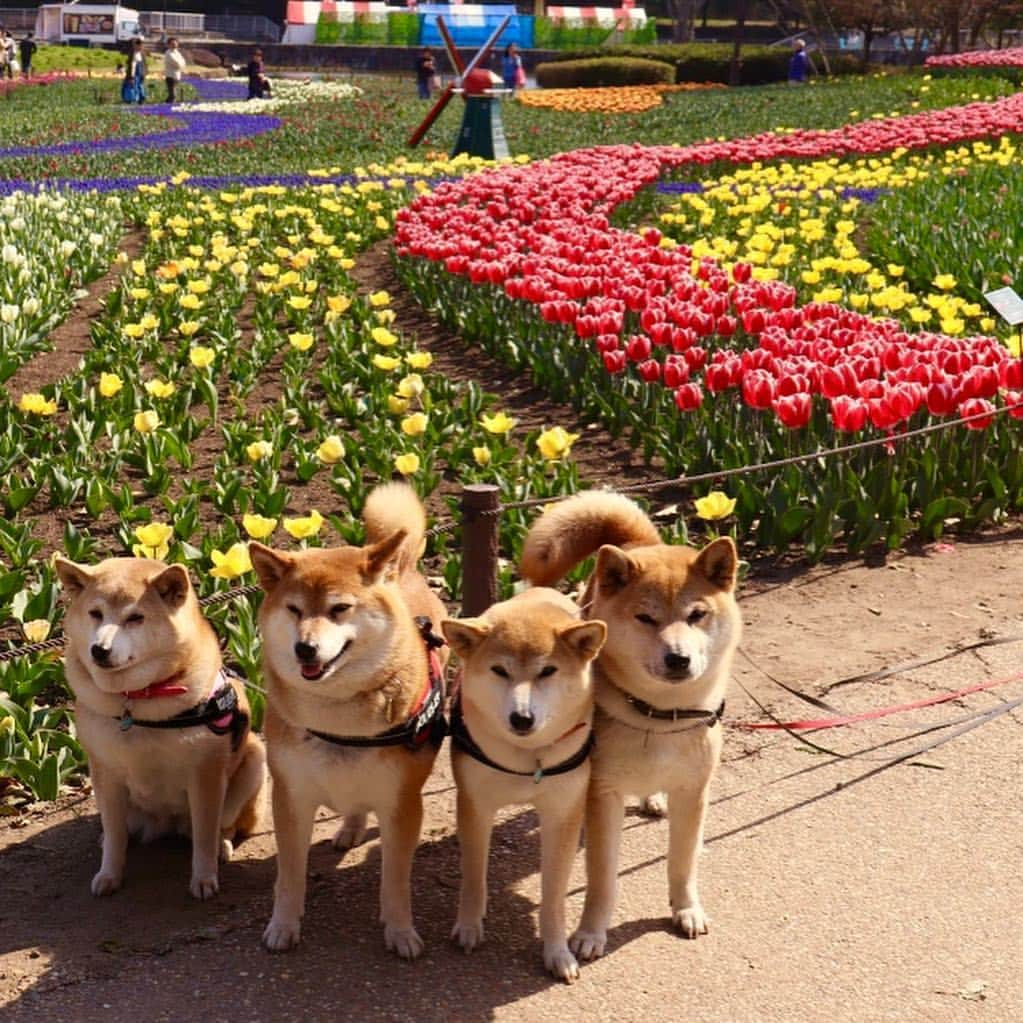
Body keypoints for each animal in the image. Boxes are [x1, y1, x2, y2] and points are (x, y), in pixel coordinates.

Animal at [56, 556, 268, 900]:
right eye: (96, 613)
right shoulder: (106, 773)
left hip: (254, 758)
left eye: (135, 617)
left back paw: (222, 844)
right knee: (120, 829)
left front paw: (204, 877)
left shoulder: (205, 776)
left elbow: (204, 838)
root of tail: (168, 825)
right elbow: (115, 837)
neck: (137, 701)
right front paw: (109, 873)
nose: (99, 649)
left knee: (221, 827)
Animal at [249, 482, 446, 953]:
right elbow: (289, 877)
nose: (304, 648)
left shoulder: (402, 803)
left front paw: (400, 930)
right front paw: (284, 925)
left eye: (339, 608)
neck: (337, 719)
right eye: (294, 610)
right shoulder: (291, 796)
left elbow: (395, 880)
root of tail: (401, 567)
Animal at [441, 593, 601, 982]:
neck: (528, 759)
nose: (522, 717)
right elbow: (473, 875)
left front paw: (557, 952)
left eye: (547, 671)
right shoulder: (475, 805)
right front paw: (469, 924)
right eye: (500, 671)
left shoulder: (562, 814)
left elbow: (554, 898)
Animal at [523, 493, 740, 957]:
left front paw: (686, 909)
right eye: (646, 618)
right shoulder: (603, 793)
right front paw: (590, 933)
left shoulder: (693, 792)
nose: (678, 658)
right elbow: (602, 880)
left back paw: (653, 798)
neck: (658, 718)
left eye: (696, 614)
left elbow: (682, 862)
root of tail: (642, 543)